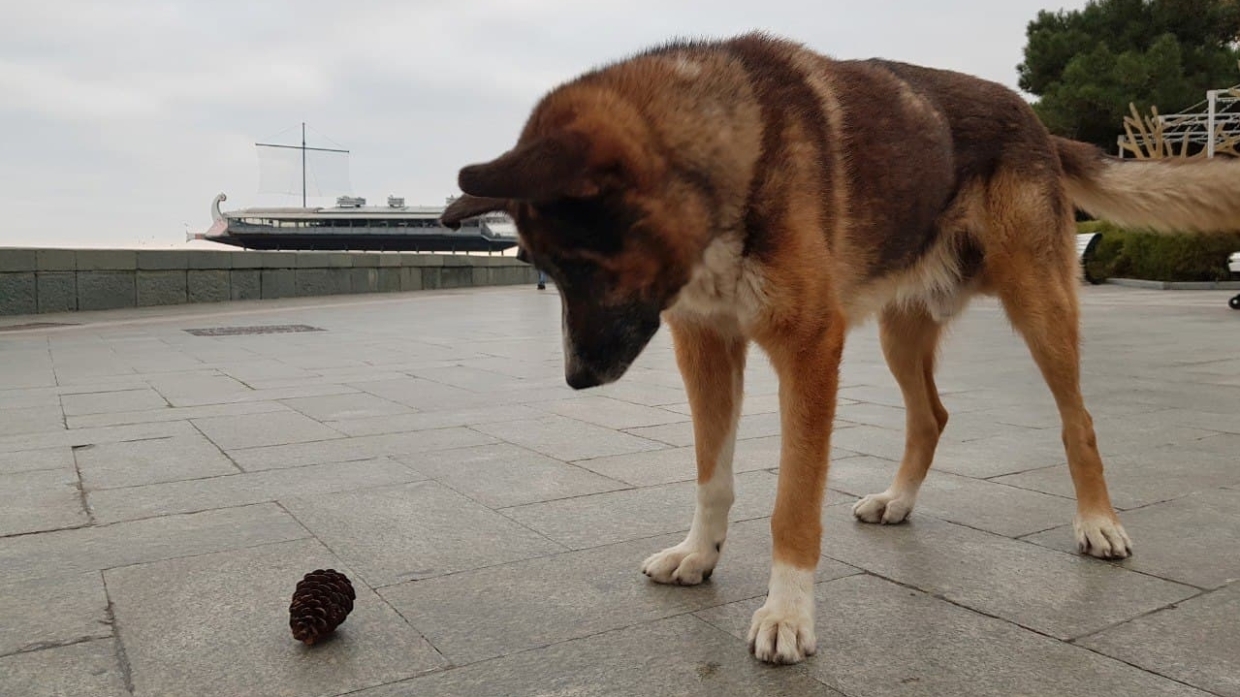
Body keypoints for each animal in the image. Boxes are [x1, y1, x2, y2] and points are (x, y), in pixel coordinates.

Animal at [438, 32, 1240, 659]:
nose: (574, 378)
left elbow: (792, 501)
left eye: (578, 265)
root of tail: (1036, 120)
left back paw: (1098, 522)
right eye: (543, 267)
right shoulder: (707, 349)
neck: (741, 153)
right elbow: (711, 475)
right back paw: (899, 500)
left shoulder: (807, 353)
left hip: (1039, 307)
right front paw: (700, 554)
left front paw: (787, 612)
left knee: (1079, 420)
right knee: (931, 417)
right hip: (900, 330)